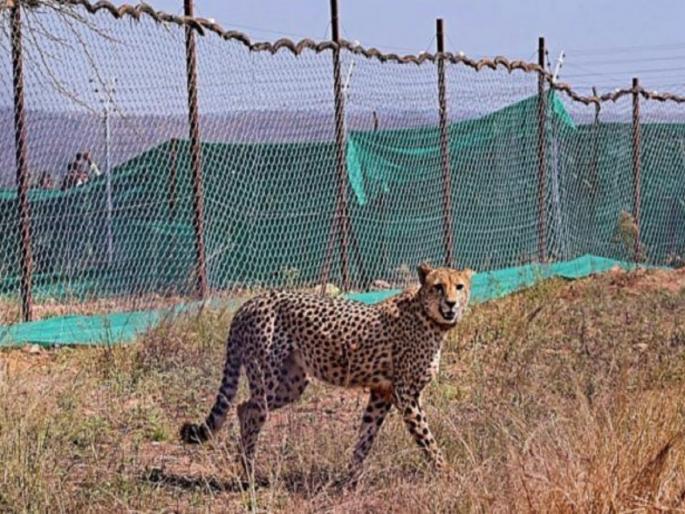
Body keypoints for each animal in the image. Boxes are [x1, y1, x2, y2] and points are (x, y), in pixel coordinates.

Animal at [180, 263, 474, 483]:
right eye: (438, 286)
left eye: (459, 287)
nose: (451, 304)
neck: (429, 316)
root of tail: (250, 302)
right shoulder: (406, 395)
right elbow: (427, 438)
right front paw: (448, 473)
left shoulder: (382, 393)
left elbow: (366, 436)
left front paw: (351, 478)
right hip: (268, 377)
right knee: (252, 411)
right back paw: (249, 474)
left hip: (292, 383)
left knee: (243, 407)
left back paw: (246, 467)